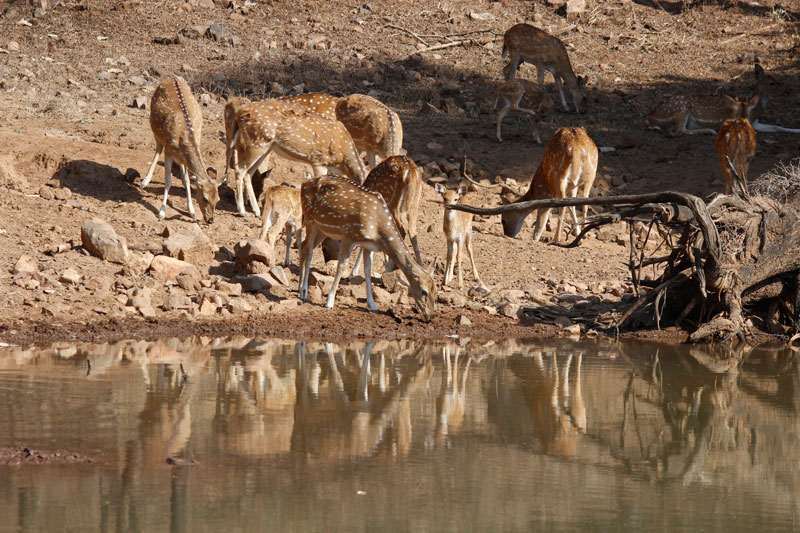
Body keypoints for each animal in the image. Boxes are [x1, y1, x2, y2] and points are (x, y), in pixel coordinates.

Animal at [141, 77, 222, 220]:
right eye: (205, 198)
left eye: (218, 199)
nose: (210, 220)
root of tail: (172, 78)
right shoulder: (169, 151)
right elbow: (168, 181)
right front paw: (161, 212)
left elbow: (187, 181)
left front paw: (191, 211)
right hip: (155, 130)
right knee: (158, 149)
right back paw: (145, 181)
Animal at [222, 98, 366, 217]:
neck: (343, 158)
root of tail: (239, 113)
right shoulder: (319, 161)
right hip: (257, 142)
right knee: (240, 170)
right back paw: (242, 211)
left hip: (264, 146)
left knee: (248, 173)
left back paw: (256, 211)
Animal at [300, 174, 438, 320]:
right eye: (424, 291)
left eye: (435, 290)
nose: (430, 316)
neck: (377, 228)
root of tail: (304, 183)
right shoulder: (348, 234)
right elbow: (341, 266)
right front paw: (329, 302)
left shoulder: (368, 244)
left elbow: (367, 270)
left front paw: (372, 305)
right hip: (309, 218)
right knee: (308, 250)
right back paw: (303, 292)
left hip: (322, 228)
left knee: (304, 245)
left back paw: (300, 289)